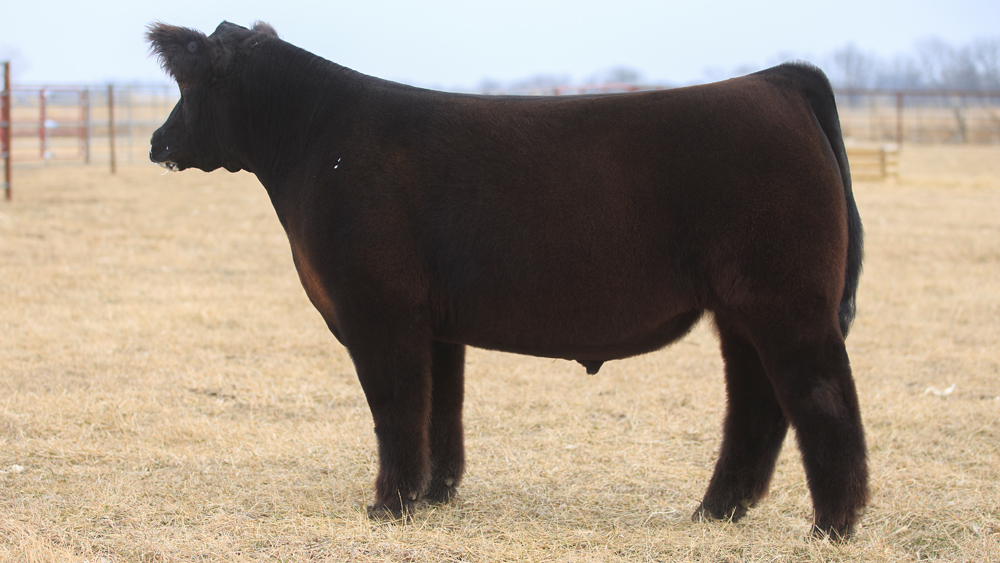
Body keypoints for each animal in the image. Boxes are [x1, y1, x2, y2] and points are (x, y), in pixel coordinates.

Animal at [147, 21, 867, 539]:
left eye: (190, 86)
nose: (157, 141)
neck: (315, 144)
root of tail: (778, 82)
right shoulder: (433, 322)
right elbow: (440, 408)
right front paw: (436, 493)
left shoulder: (378, 310)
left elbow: (396, 408)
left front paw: (390, 506)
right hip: (744, 309)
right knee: (757, 404)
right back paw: (716, 512)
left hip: (789, 302)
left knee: (822, 399)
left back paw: (832, 525)